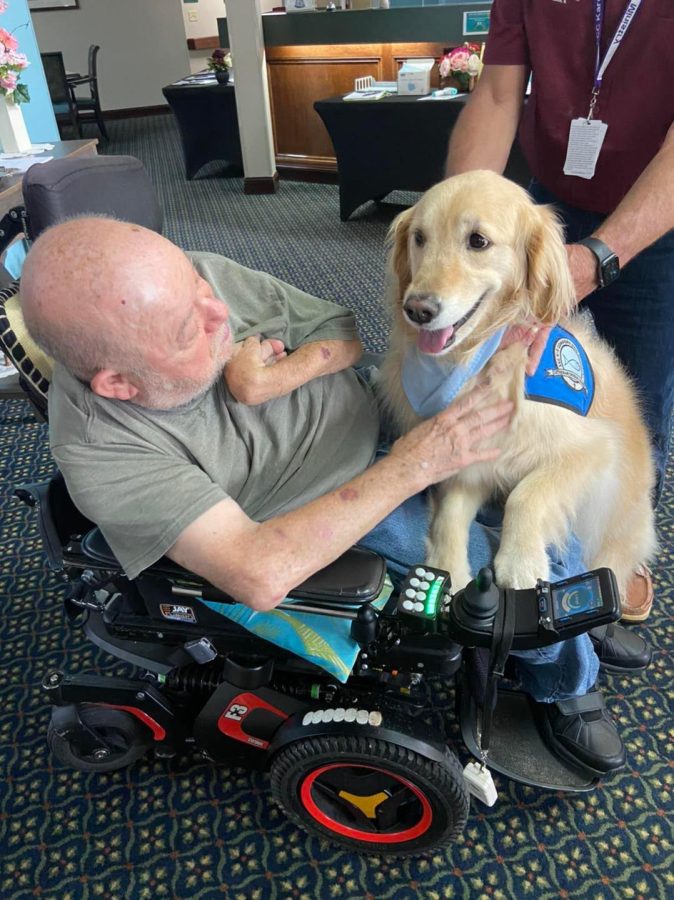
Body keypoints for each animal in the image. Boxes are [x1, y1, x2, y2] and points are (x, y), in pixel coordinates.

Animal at [380, 172, 652, 600]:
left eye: (478, 241)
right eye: (420, 237)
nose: (418, 309)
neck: (478, 362)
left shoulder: (593, 452)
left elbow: (527, 494)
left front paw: (521, 561)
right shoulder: (466, 460)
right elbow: (450, 514)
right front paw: (446, 568)